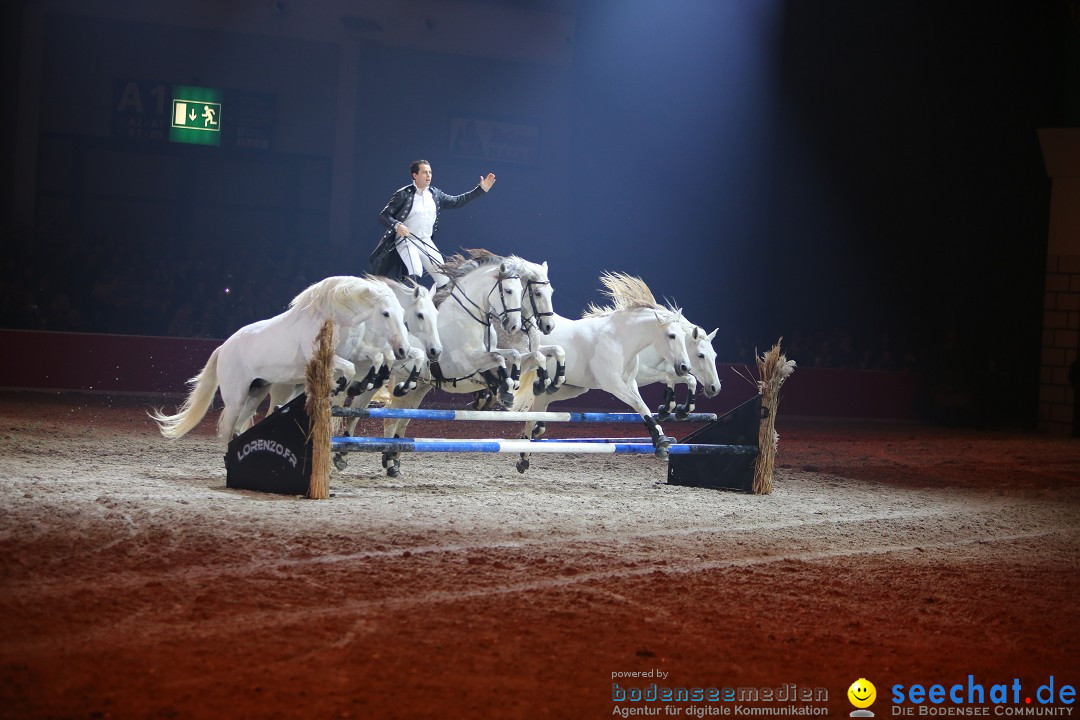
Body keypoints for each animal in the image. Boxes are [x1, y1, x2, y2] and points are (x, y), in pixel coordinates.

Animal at [147, 274, 408, 446]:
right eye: (385, 313)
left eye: (402, 314)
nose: (403, 350)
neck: (335, 318)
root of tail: (223, 348)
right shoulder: (328, 358)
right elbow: (352, 369)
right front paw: (343, 385)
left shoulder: (354, 352)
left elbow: (376, 357)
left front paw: (371, 380)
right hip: (236, 398)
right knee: (228, 427)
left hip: (256, 392)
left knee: (239, 425)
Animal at [514, 272, 691, 472]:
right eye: (671, 335)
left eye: (682, 335)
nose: (685, 367)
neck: (618, 339)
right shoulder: (613, 385)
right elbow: (639, 405)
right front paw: (661, 440)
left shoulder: (630, 383)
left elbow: (643, 406)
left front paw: (661, 440)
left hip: (573, 388)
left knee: (537, 408)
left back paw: (524, 456)